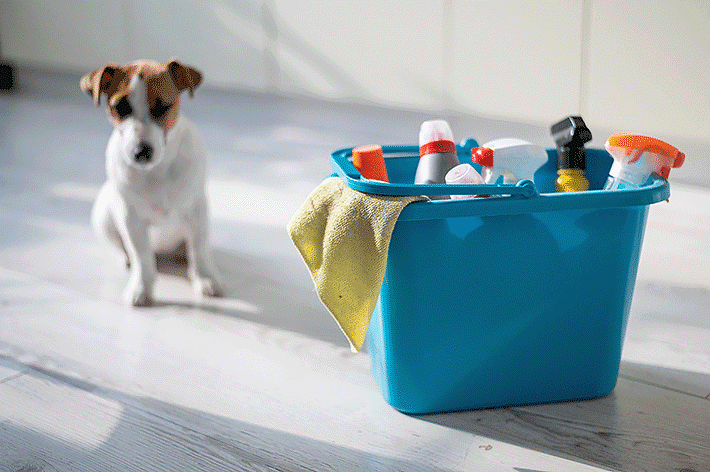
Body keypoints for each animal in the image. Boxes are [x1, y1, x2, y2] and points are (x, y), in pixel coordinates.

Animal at [82, 59, 224, 306]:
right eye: (120, 107)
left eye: (163, 107)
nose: (141, 152)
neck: (156, 170)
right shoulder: (131, 219)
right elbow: (142, 257)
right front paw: (141, 287)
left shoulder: (196, 211)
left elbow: (198, 249)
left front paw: (205, 278)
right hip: (104, 217)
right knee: (130, 251)